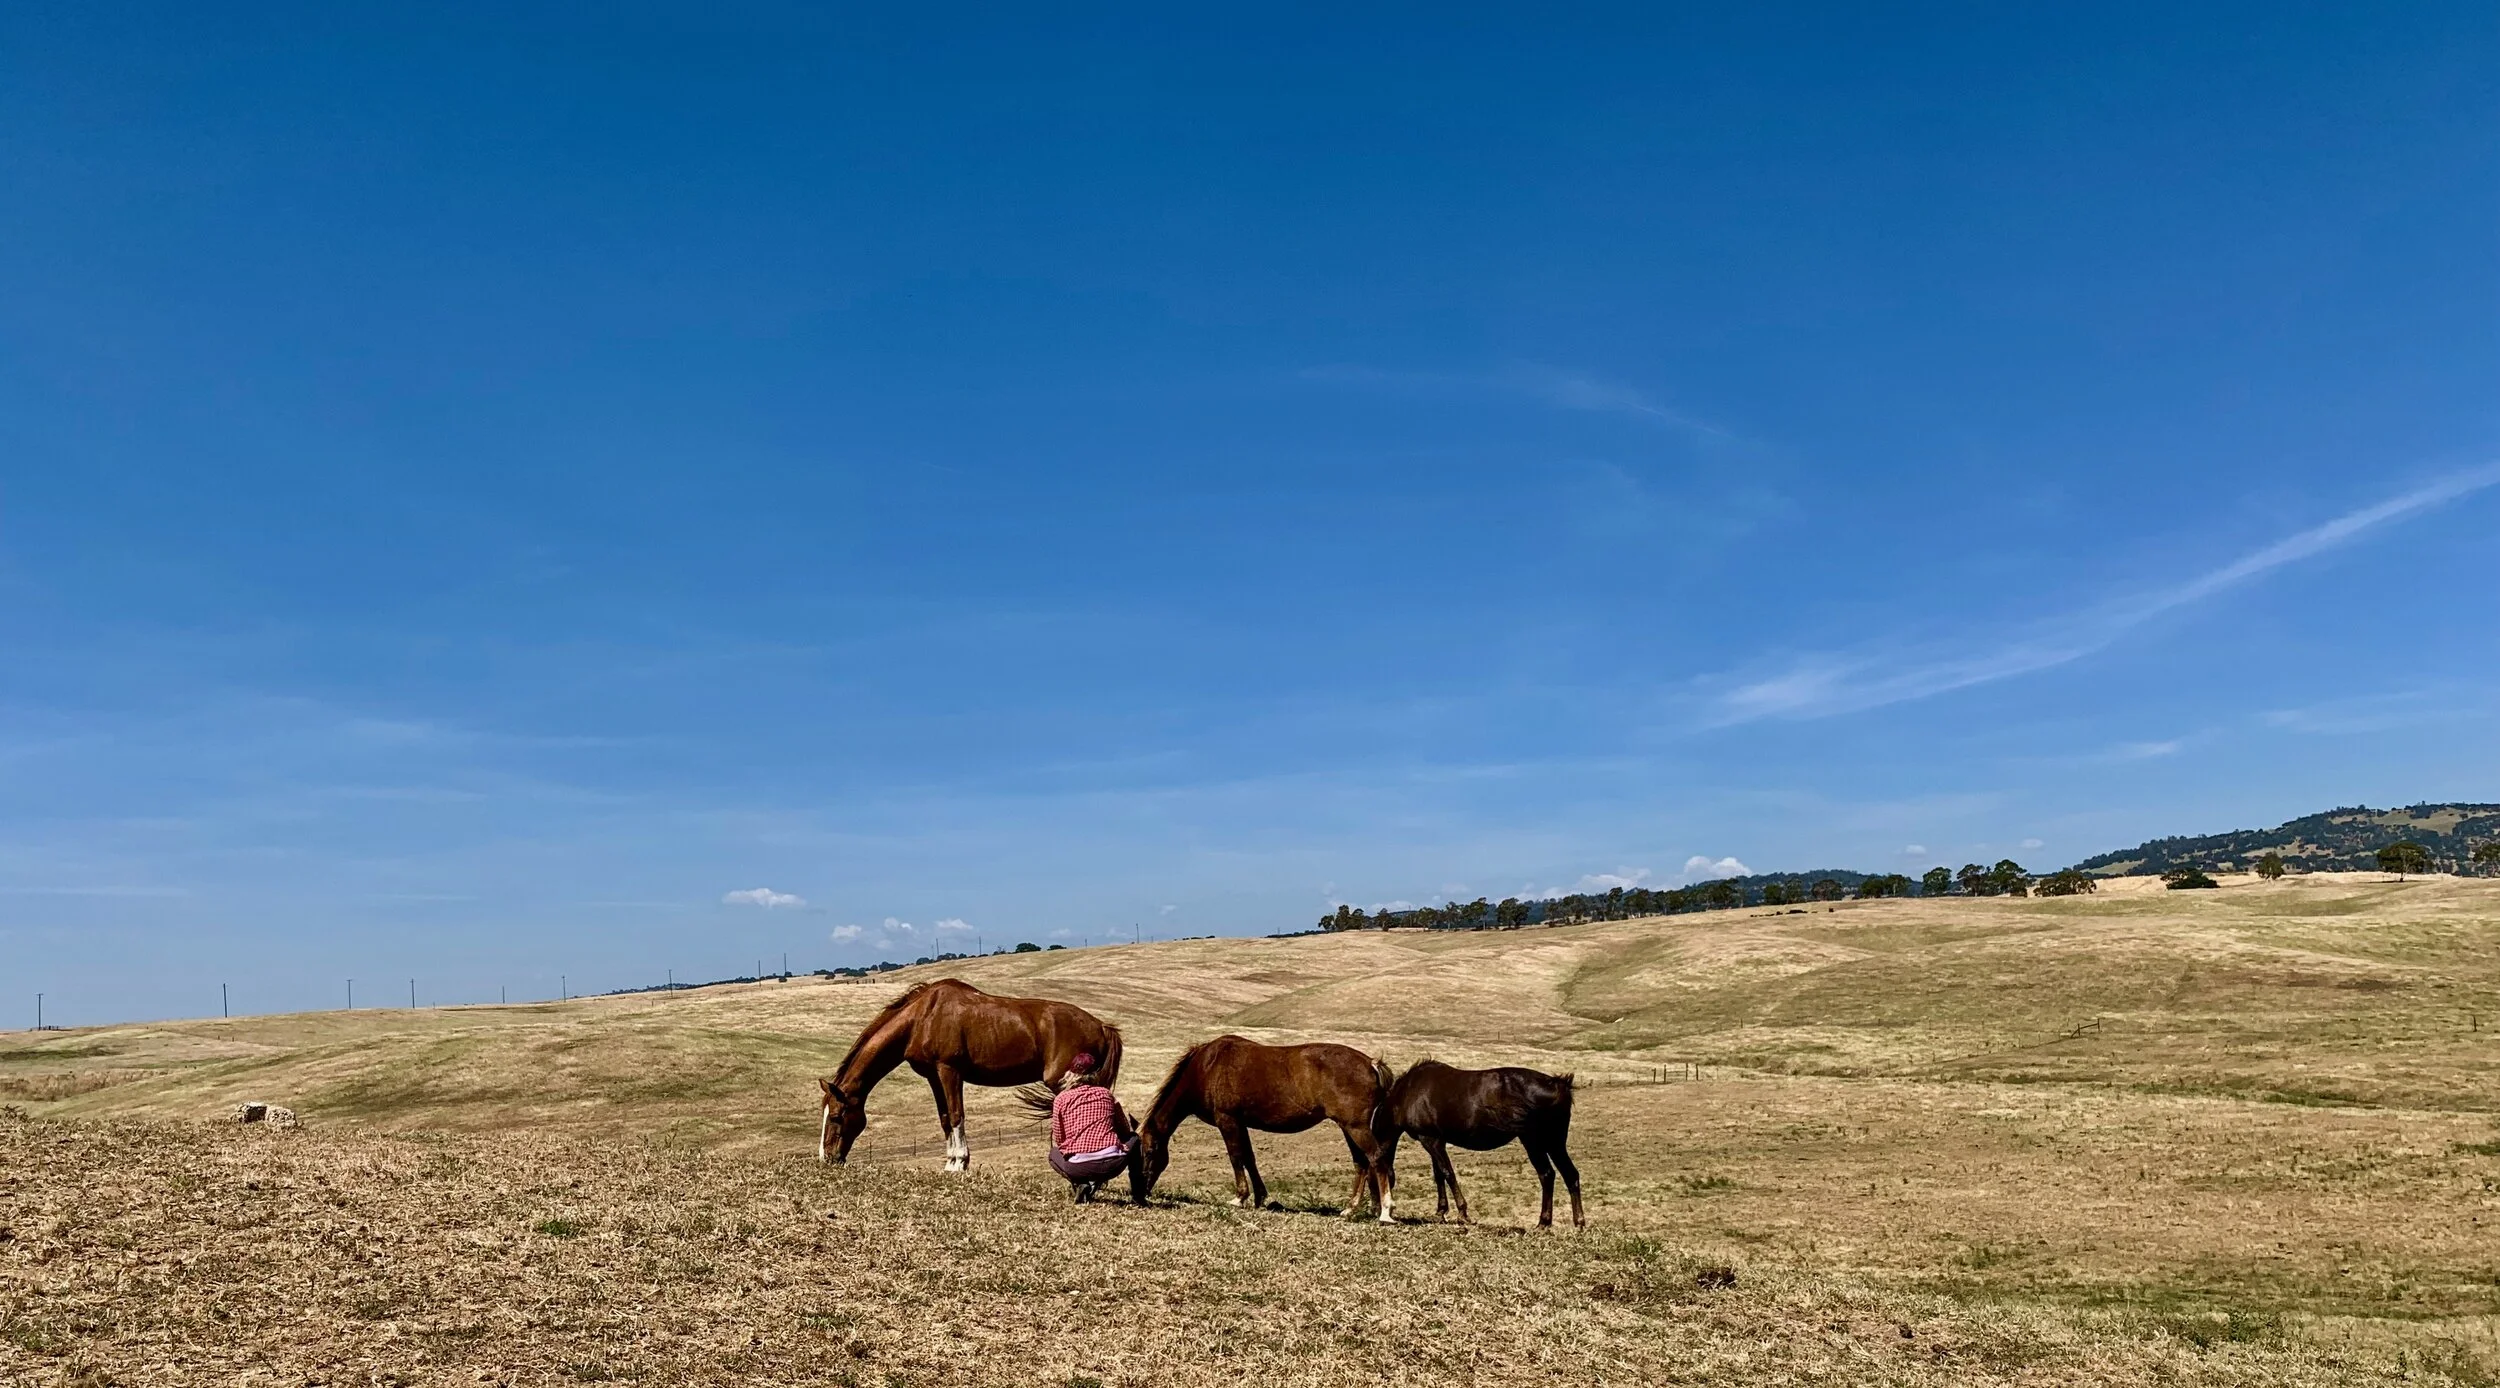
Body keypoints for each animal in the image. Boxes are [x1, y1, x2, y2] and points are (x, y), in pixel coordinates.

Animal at [818, 979, 1122, 1171]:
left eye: (837, 1116)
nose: (826, 1158)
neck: (922, 1018)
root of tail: (1101, 1025)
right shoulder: (934, 1076)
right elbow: (944, 1118)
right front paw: (951, 1162)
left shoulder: (949, 1070)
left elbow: (956, 1115)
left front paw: (960, 1162)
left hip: (1066, 1083)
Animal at [1129, 1034, 1395, 1221]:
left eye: (1150, 1151)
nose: (1142, 1189)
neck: (1206, 1068)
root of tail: (1371, 1064)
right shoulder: (1240, 1123)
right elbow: (1249, 1158)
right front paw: (1260, 1197)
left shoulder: (1228, 1121)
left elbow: (1236, 1157)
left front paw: (1239, 1198)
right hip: (1348, 1128)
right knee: (1362, 1163)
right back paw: (1351, 1209)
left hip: (1356, 1127)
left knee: (1376, 1158)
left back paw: (1385, 1211)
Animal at [1374, 1059, 1582, 1227]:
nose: (1376, 1209)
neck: (1408, 1094)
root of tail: (1558, 1084)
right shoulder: (1434, 1140)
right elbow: (1439, 1175)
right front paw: (1441, 1212)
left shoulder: (1431, 1140)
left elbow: (1448, 1173)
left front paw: (1462, 1213)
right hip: (1555, 1143)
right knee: (1570, 1174)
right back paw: (1578, 1222)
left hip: (1534, 1142)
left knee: (1546, 1175)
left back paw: (1543, 1223)